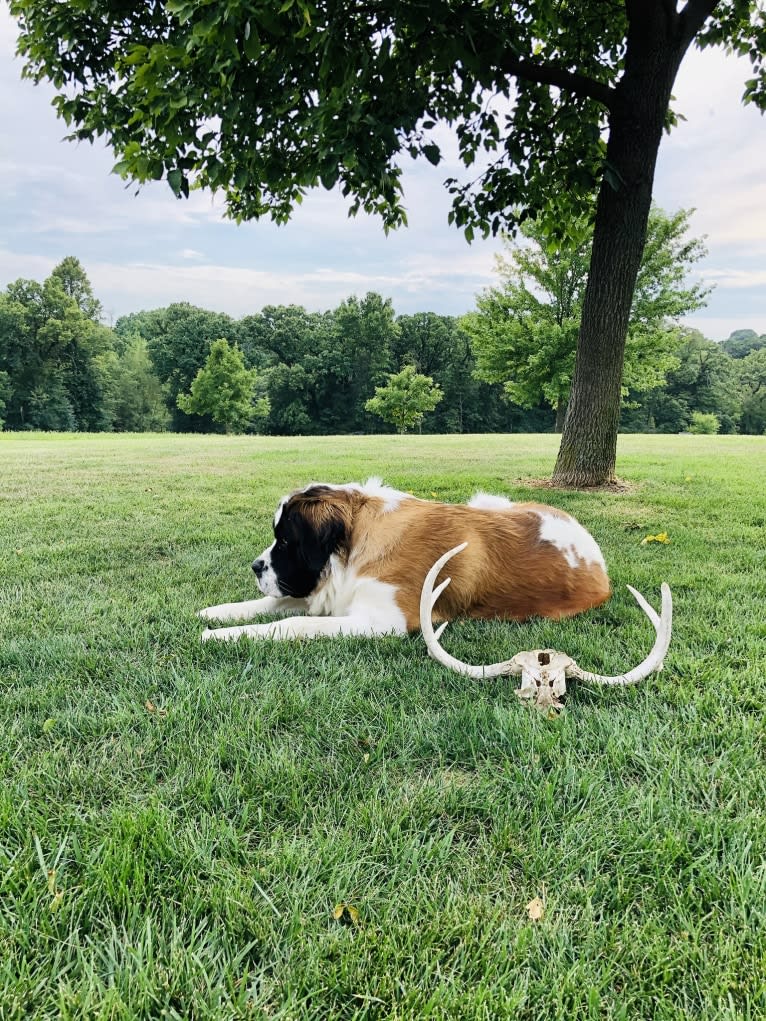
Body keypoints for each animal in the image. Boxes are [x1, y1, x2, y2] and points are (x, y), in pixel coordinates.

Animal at [198, 475, 612, 637]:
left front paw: (222, 636)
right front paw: (217, 614)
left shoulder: (382, 621)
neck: (358, 540)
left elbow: (293, 623)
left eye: (285, 542)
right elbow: (273, 604)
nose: (255, 567)